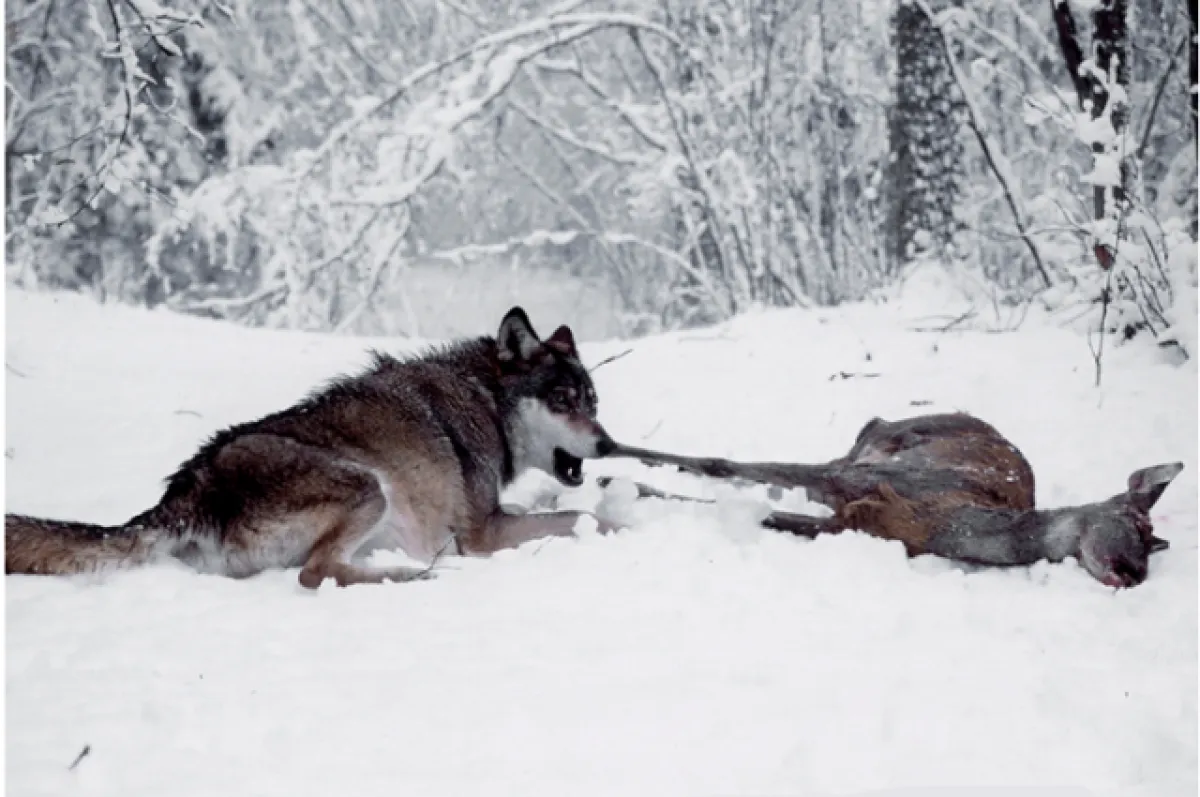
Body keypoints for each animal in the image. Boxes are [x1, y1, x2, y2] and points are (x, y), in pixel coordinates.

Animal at [4, 307, 614, 588]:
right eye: (562, 400)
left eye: (593, 402)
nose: (607, 444)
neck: (483, 399)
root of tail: (185, 491)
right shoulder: (484, 533)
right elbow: (580, 518)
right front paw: (623, 520)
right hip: (369, 487)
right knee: (315, 573)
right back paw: (411, 575)